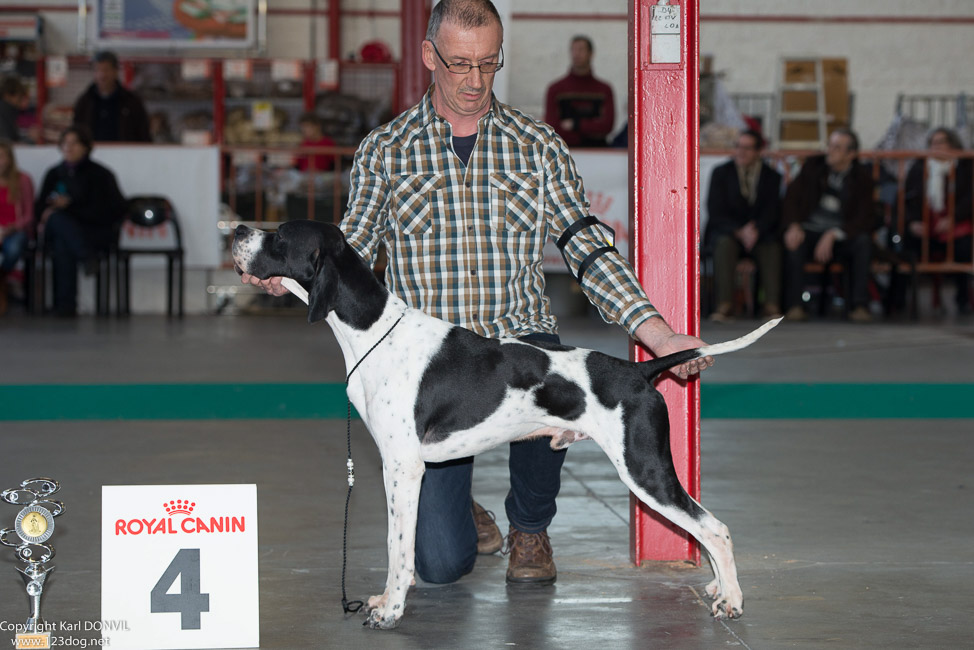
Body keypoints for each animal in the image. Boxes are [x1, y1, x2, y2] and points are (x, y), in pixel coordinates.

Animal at [233, 220, 780, 624]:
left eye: (280, 235)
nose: (237, 227)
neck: (372, 331)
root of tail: (640, 369)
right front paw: (387, 600)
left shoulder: (403, 468)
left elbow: (398, 546)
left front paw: (391, 609)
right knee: (705, 528)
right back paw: (718, 587)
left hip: (645, 469)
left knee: (714, 528)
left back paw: (732, 600)